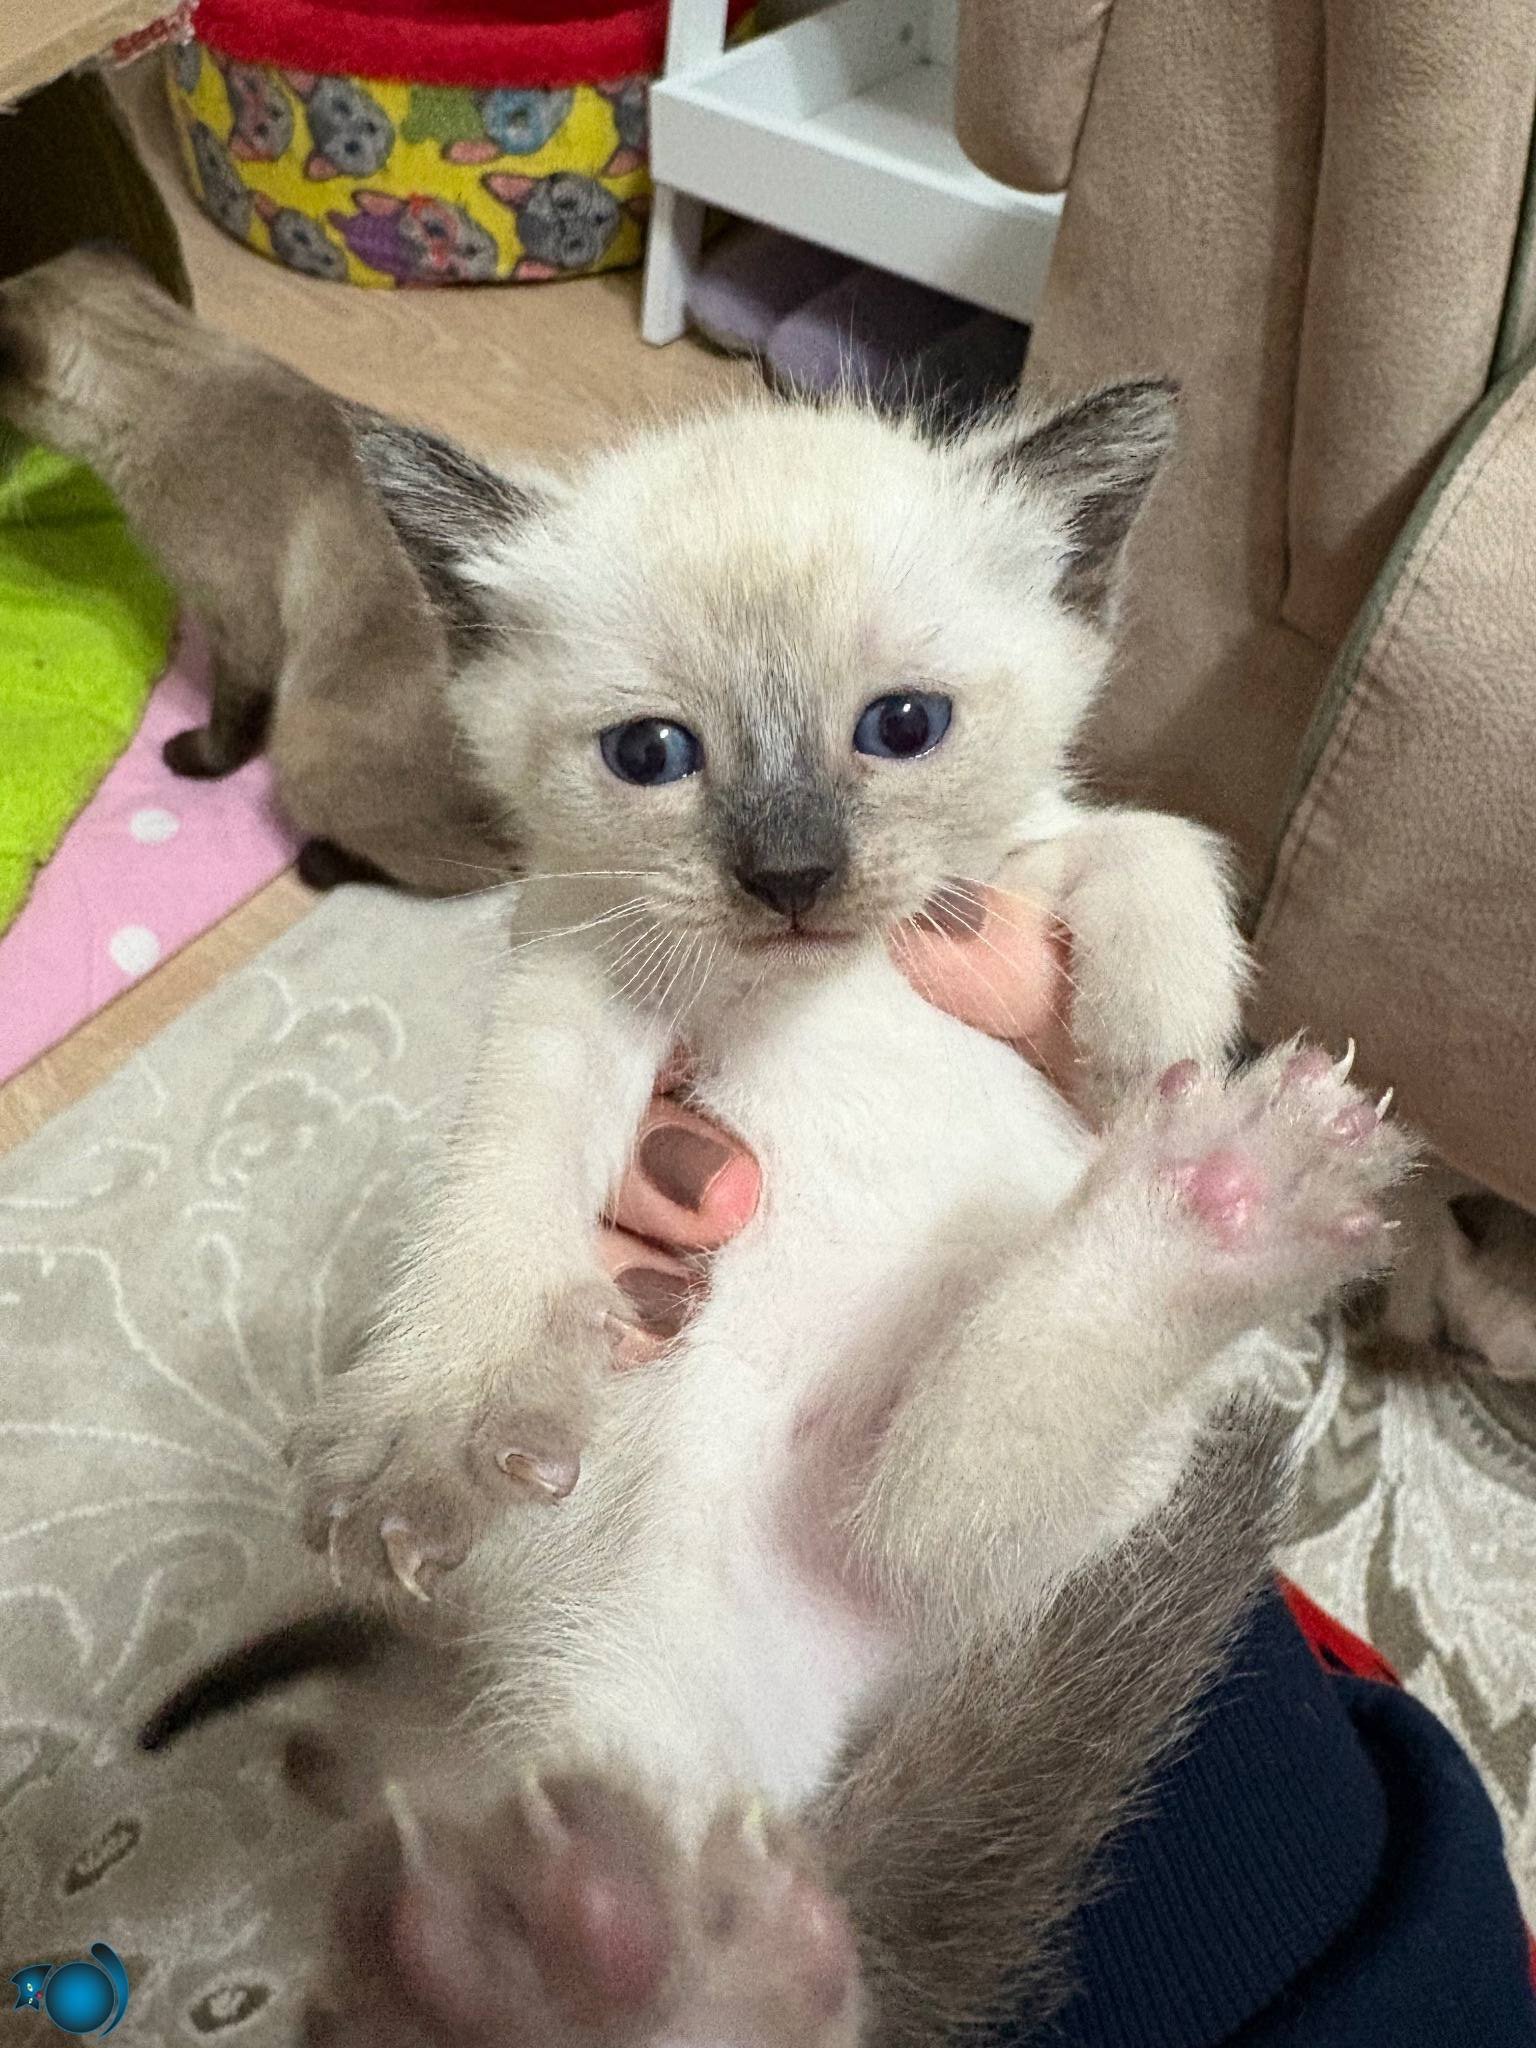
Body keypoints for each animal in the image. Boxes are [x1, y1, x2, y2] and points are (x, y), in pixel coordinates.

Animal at [0, 248, 518, 894]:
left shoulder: (242, 631)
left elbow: (229, 723)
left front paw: (192, 760)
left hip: (304, 746)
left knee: (474, 871)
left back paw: (321, 863)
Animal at [250, 382, 1407, 2042]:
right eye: (654, 752)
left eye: (902, 727)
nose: (791, 873)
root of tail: (903, 1687)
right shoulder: (574, 979)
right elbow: (499, 1190)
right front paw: (430, 1430)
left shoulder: (1019, 872)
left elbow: (1155, 839)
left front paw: (1148, 1037)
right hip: (650, 1681)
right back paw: (577, 1960)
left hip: (1098, 1505)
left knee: (936, 1503)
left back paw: (1227, 1194)